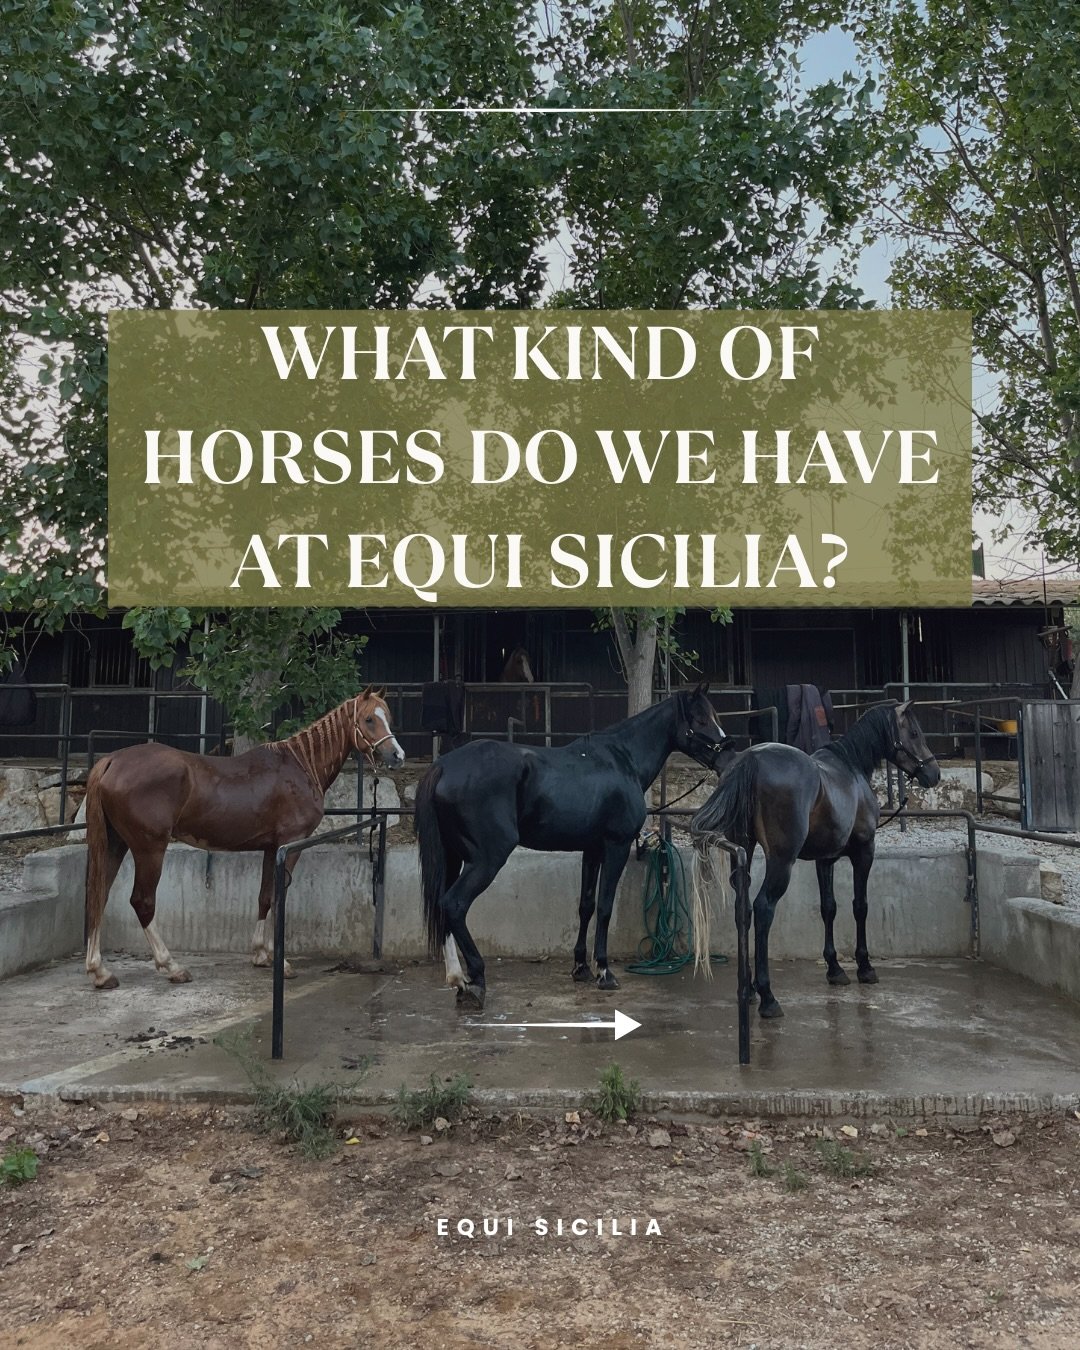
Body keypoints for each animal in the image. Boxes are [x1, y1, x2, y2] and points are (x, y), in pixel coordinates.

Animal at [82, 688, 405, 989]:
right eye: (369, 719)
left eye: (388, 716)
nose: (397, 756)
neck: (301, 765)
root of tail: (111, 761)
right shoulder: (290, 844)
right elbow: (278, 896)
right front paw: (280, 961)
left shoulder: (272, 848)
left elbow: (264, 896)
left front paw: (261, 954)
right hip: (149, 848)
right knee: (142, 901)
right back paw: (171, 967)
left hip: (116, 844)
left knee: (99, 895)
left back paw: (100, 971)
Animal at [415, 683, 726, 1010]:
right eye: (701, 720)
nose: (727, 754)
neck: (621, 760)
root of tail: (443, 766)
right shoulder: (616, 847)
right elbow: (604, 907)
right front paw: (604, 972)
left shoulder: (592, 850)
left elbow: (586, 906)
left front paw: (581, 968)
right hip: (487, 860)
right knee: (454, 904)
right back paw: (473, 981)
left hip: (453, 857)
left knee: (442, 906)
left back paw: (458, 981)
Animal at [690, 701, 939, 1019]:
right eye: (915, 733)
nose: (934, 774)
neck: (851, 768)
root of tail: (751, 760)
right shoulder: (864, 852)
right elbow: (860, 906)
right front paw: (864, 967)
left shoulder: (825, 860)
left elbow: (828, 908)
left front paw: (834, 969)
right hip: (781, 861)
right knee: (763, 908)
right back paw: (768, 997)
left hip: (743, 851)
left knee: (743, 909)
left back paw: (747, 990)